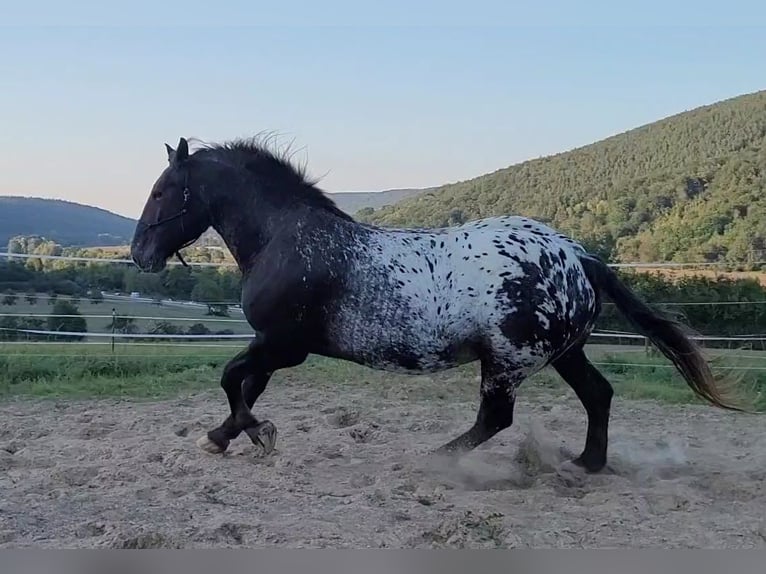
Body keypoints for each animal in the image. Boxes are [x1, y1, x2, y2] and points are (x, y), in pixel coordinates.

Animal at [129, 137, 748, 474]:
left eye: (162, 190)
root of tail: (579, 256)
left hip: (507, 361)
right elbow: (245, 387)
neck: (288, 239)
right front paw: (225, 437)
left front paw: (257, 434)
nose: (139, 254)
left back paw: (438, 458)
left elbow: (234, 379)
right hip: (564, 352)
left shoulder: (284, 345)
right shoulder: (275, 346)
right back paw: (586, 464)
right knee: (598, 394)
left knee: (496, 418)